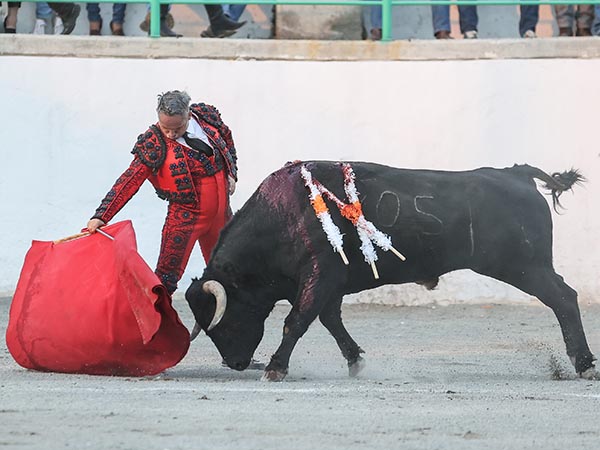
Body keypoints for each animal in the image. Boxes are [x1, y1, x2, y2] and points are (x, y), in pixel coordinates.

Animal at [185, 161, 596, 380]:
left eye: (226, 322)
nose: (236, 364)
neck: (284, 217)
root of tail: (516, 173)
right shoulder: (330, 284)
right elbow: (330, 321)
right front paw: (356, 361)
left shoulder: (320, 276)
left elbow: (296, 321)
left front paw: (275, 368)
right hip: (526, 266)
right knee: (563, 297)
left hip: (525, 266)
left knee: (563, 298)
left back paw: (583, 364)